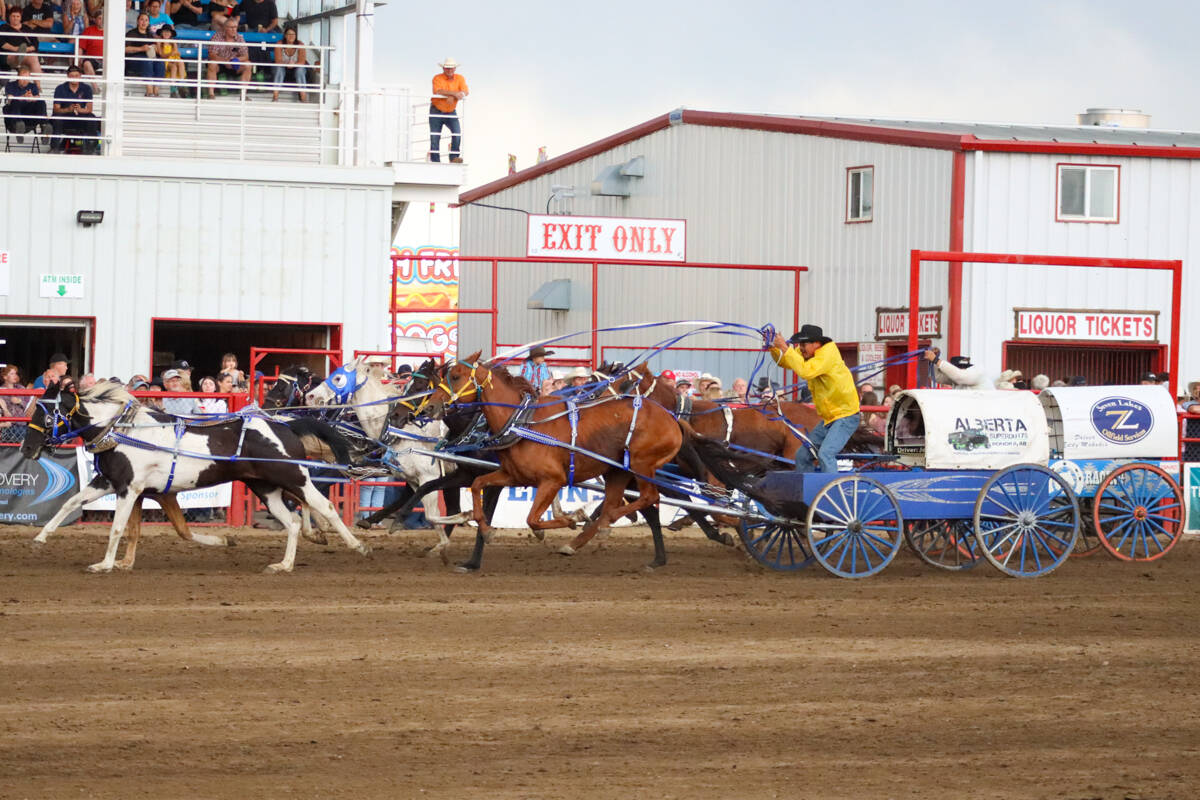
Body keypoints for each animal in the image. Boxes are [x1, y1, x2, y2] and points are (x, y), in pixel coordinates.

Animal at [424, 352, 686, 573]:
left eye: (455, 376)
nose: (430, 406)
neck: (522, 423)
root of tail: (670, 417)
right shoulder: (512, 475)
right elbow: (478, 484)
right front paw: (487, 531)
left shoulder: (553, 480)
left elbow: (532, 519)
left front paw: (573, 518)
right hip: (617, 471)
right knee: (614, 504)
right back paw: (581, 539)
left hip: (641, 465)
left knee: (647, 498)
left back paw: (600, 525)